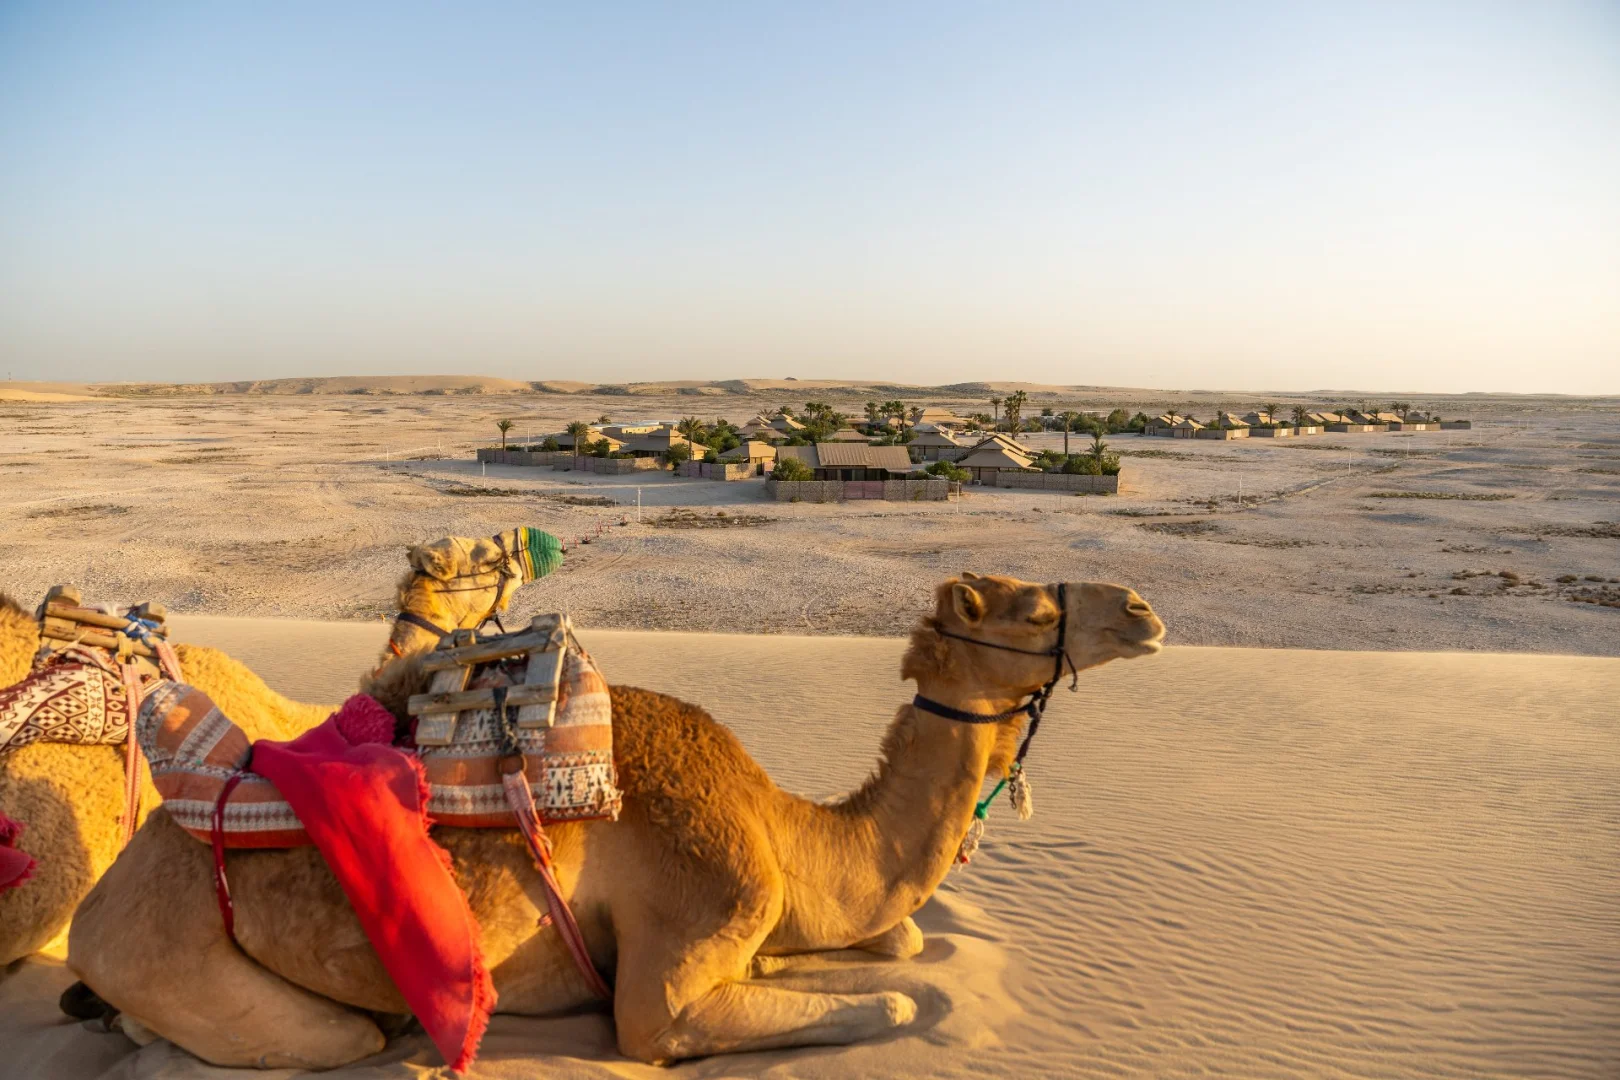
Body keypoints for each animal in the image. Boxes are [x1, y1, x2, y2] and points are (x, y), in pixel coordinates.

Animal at [68, 573, 1164, 1068]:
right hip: (182, 964)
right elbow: (887, 1003)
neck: (779, 824)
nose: (1143, 611)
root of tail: (94, 909)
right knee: (316, 1036)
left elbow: (892, 946)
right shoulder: (681, 957)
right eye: (1032, 611)